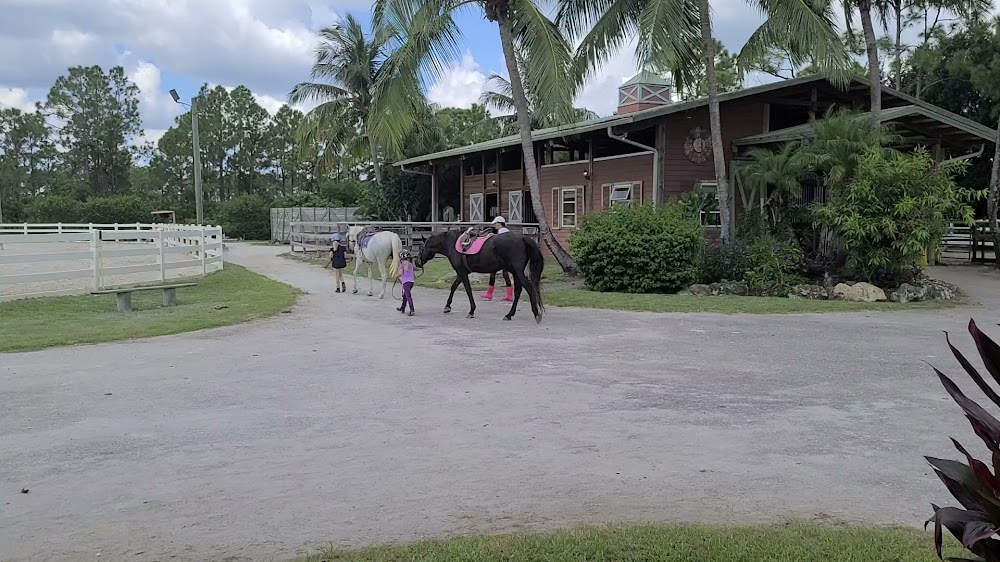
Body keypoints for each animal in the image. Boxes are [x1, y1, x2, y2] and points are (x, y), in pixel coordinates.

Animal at [412, 228, 544, 322]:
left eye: (421, 247)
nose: (417, 262)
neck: (453, 243)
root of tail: (522, 238)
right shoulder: (462, 272)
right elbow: (454, 286)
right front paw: (447, 306)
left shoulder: (461, 272)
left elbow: (468, 290)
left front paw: (471, 311)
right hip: (516, 273)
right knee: (517, 291)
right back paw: (509, 314)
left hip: (517, 272)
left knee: (529, 288)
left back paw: (536, 314)